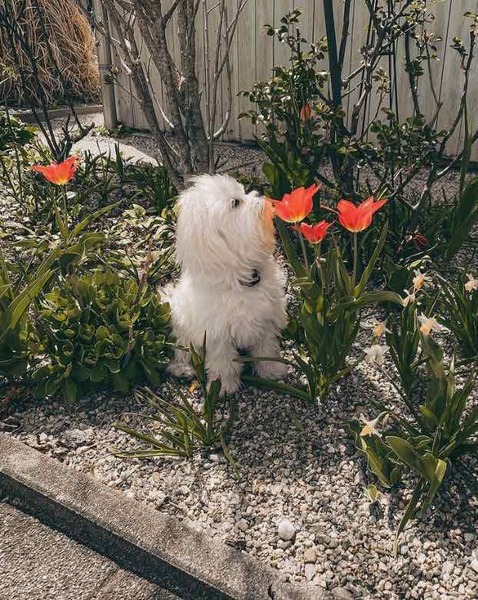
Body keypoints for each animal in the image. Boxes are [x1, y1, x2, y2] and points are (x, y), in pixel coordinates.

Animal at [166, 174, 288, 394]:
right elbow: (223, 362)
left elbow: (266, 348)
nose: (260, 195)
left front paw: (272, 371)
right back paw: (182, 369)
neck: (239, 279)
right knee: (182, 350)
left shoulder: (265, 320)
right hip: (182, 325)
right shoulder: (216, 335)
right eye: (235, 203)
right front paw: (223, 385)